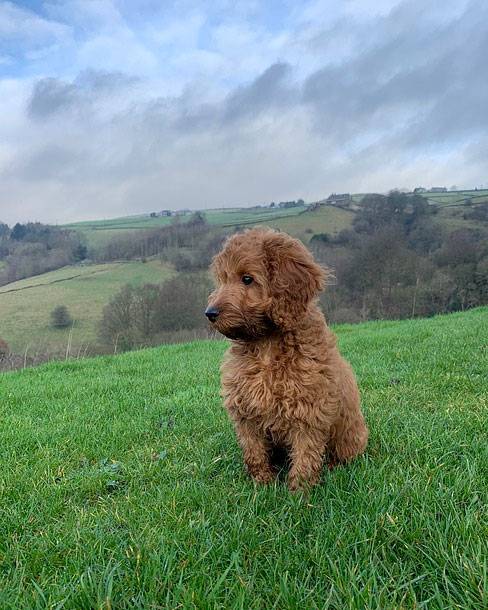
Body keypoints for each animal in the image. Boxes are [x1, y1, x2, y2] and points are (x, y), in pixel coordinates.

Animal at [204, 228, 368, 490]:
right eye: (222, 279)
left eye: (247, 279)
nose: (210, 313)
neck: (265, 346)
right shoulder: (245, 411)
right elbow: (254, 452)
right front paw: (261, 484)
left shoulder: (308, 411)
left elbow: (305, 457)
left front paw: (299, 493)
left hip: (351, 437)